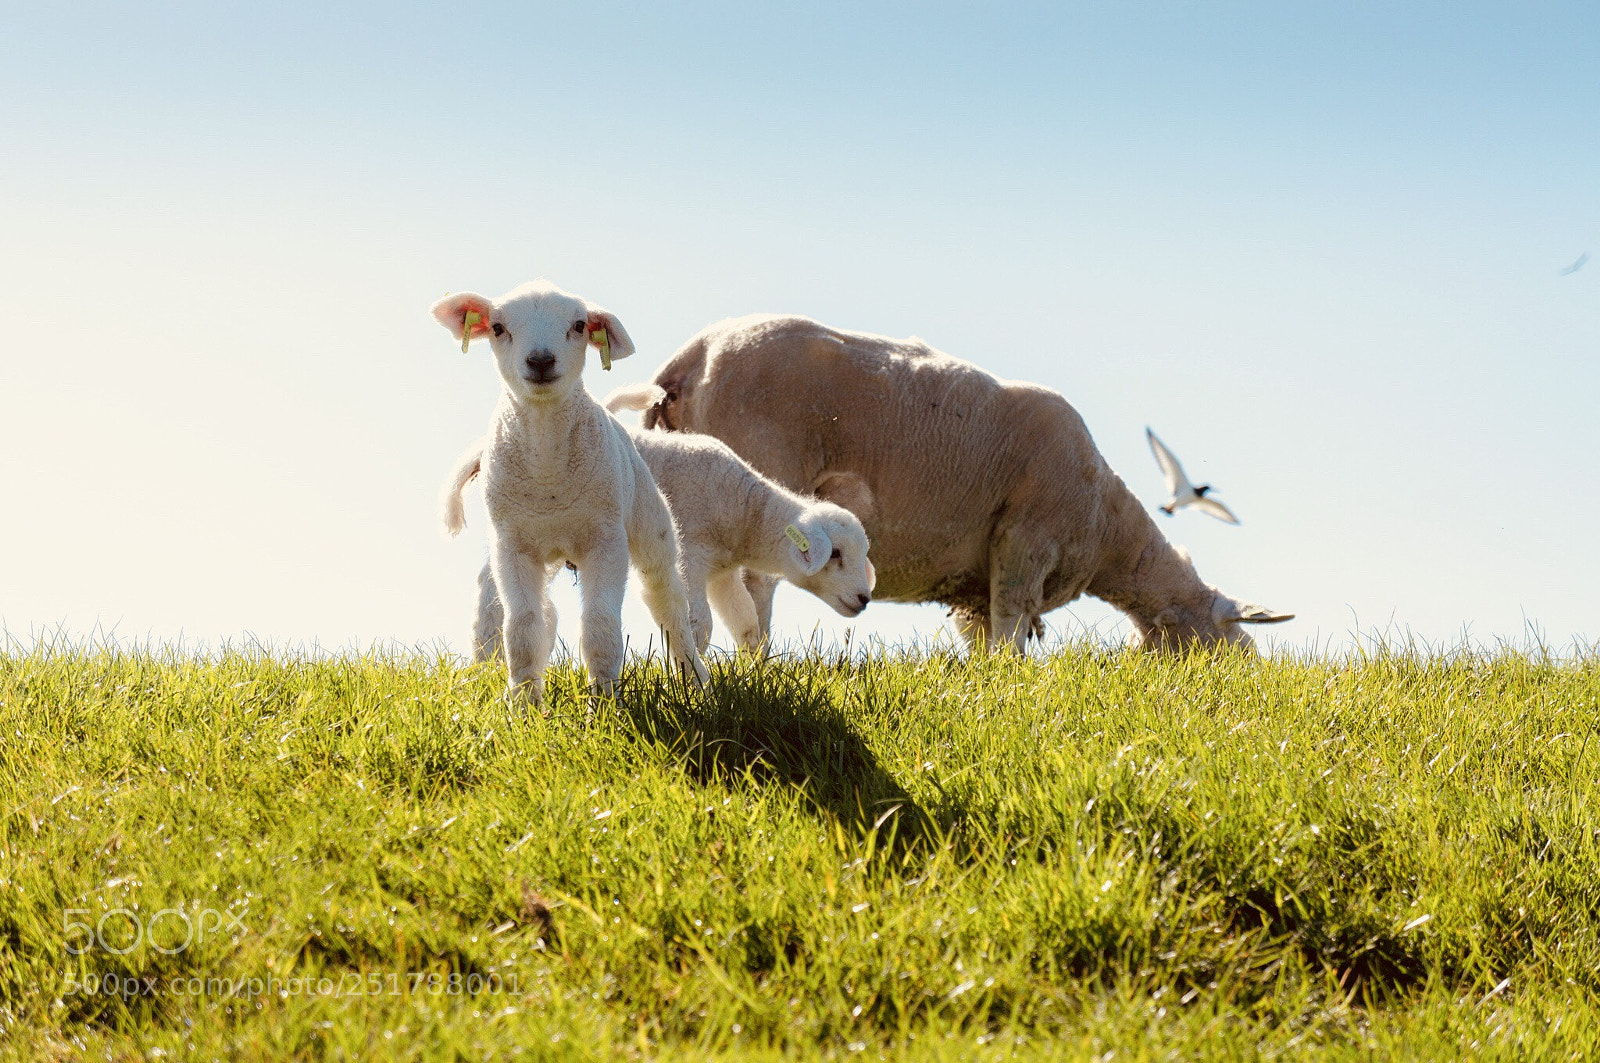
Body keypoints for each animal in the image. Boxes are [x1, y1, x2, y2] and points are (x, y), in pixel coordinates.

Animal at [432, 279, 709, 704]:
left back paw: (693, 678)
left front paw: (606, 705)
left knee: (667, 600)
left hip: (650, 527)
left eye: (579, 325)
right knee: (529, 610)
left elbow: (600, 626)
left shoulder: (606, 541)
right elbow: (523, 627)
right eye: (497, 328)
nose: (540, 360)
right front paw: (525, 706)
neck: (549, 479)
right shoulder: (512, 546)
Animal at [449, 383, 877, 657]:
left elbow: (746, 623)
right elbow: (698, 621)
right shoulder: (691, 552)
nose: (863, 599)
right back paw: (487, 660)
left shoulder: (722, 572)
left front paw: (754, 670)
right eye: (836, 554)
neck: (745, 509)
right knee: (491, 591)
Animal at [636, 314, 1293, 651]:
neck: (1108, 532)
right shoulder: (1025, 543)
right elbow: (1010, 629)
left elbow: (981, 642)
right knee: (757, 587)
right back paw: (761, 663)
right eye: (1233, 645)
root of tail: (684, 363)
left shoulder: (973, 587)